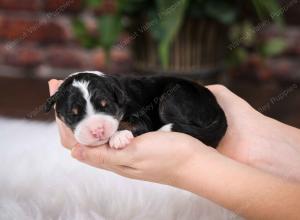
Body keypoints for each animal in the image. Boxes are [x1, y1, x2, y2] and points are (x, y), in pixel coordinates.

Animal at [44, 71, 227, 149]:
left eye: (106, 106)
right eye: (73, 114)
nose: (98, 131)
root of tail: (218, 108)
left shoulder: (140, 115)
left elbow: (134, 125)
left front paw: (119, 137)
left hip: (172, 99)